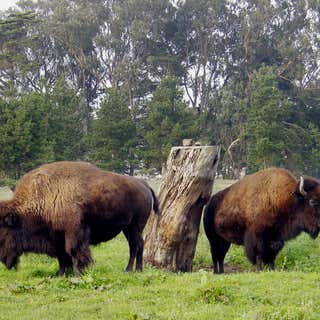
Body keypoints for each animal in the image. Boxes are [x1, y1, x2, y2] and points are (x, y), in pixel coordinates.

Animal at [0, 161, 159, 276]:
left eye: (4, 234)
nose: (3, 260)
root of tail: (144, 184)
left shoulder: (74, 232)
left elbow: (74, 251)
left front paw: (78, 273)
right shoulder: (56, 237)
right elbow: (62, 256)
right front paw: (60, 274)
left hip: (135, 226)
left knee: (136, 245)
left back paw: (131, 270)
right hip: (128, 228)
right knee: (137, 244)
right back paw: (136, 269)